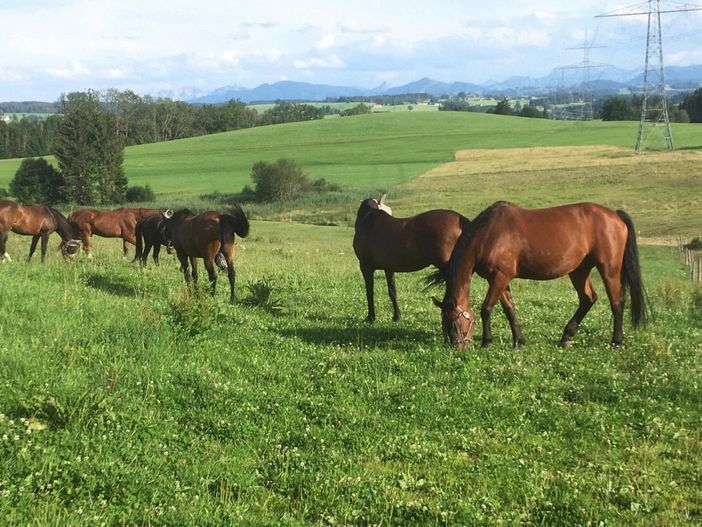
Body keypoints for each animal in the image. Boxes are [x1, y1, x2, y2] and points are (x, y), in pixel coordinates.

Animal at [354, 196, 524, 348]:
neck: (369, 222)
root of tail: (463, 222)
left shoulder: (365, 266)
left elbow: (369, 292)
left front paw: (370, 317)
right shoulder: (389, 268)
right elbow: (392, 291)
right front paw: (396, 316)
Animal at [434, 202, 648, 350]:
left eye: (454, 323)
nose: (458, 348)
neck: (488, 233)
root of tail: (615, 214)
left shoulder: (500, 277)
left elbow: (486, 309)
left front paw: (487, 341)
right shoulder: (500, 279)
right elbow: (509, 309)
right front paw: (519, 341)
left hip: (609, 269)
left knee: (617, 302)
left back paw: (616, 342)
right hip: (579, 271)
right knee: (588, 298)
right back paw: (566, 337)